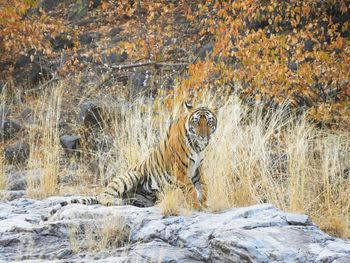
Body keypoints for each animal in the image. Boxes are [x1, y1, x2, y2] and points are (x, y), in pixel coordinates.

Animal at [46, 102, 216, 219]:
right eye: (196, 122)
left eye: (208, 122)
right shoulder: (180, 170)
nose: (204, 136)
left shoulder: (197, 169)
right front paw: (197, 207)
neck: (198, 146)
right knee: (104, 197)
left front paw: (205, 204)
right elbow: (191, 190)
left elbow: (204, 187)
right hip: (132, 175)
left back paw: (133, 202)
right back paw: (119, 202)